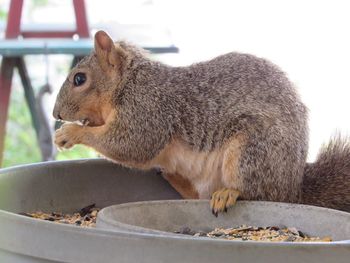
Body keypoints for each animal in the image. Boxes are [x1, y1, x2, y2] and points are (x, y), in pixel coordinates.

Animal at [52, 31, 350, 217]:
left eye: (79, 79)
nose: (56, 114)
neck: (128, 83)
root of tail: (293, 185)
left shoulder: (148, 110)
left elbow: (132, 144)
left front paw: (71, 132)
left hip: (253, 150)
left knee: (258, 193)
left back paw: (228, 193)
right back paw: (174, 177)